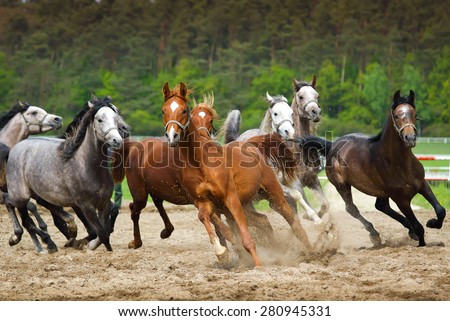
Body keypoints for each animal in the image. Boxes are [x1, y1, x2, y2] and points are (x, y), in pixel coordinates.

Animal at [162, 81, 312, 266]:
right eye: (164, 110)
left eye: (184, 110)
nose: (172, 136)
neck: (200, 163)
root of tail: (251, 145)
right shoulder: (205, 202)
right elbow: (205, 218)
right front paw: (221, 252)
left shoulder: (231, 199)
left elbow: (246, 239)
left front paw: (259, 265)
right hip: (247, 203)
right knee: (263, 221)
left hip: (273, 194)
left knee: (293, 222)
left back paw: (314, 251)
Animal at [300, 89, 444, 245]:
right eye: (396, 116)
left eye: (414, 114)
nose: (410, 138)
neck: (399, 163)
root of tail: (333, 145)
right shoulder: (400, 199)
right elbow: (419, 226)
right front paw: (421, 240)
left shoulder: (422, 184)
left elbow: (440, 210)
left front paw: (433, 223)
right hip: (341, 185)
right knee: (352, 208)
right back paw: (374, 233)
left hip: (381, 191)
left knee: (382, 207)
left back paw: (406, 231)